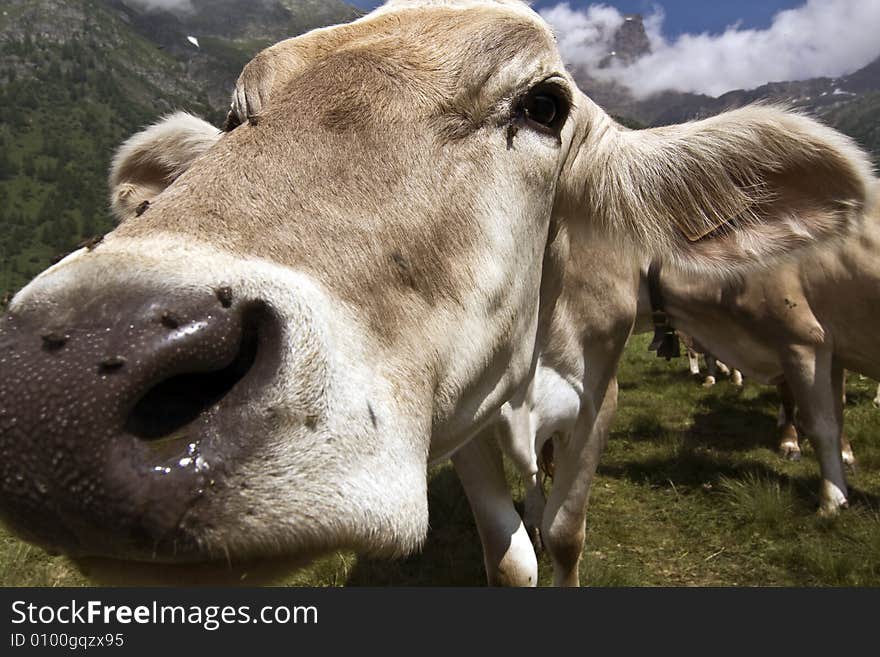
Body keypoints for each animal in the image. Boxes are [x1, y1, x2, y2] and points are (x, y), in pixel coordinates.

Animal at [0, 0, 872, 584]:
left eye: (545, 104)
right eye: (237, 115)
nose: (61, 387)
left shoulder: (602, 395)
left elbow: (566, 535)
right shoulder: (462, 415)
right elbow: (509, 556)